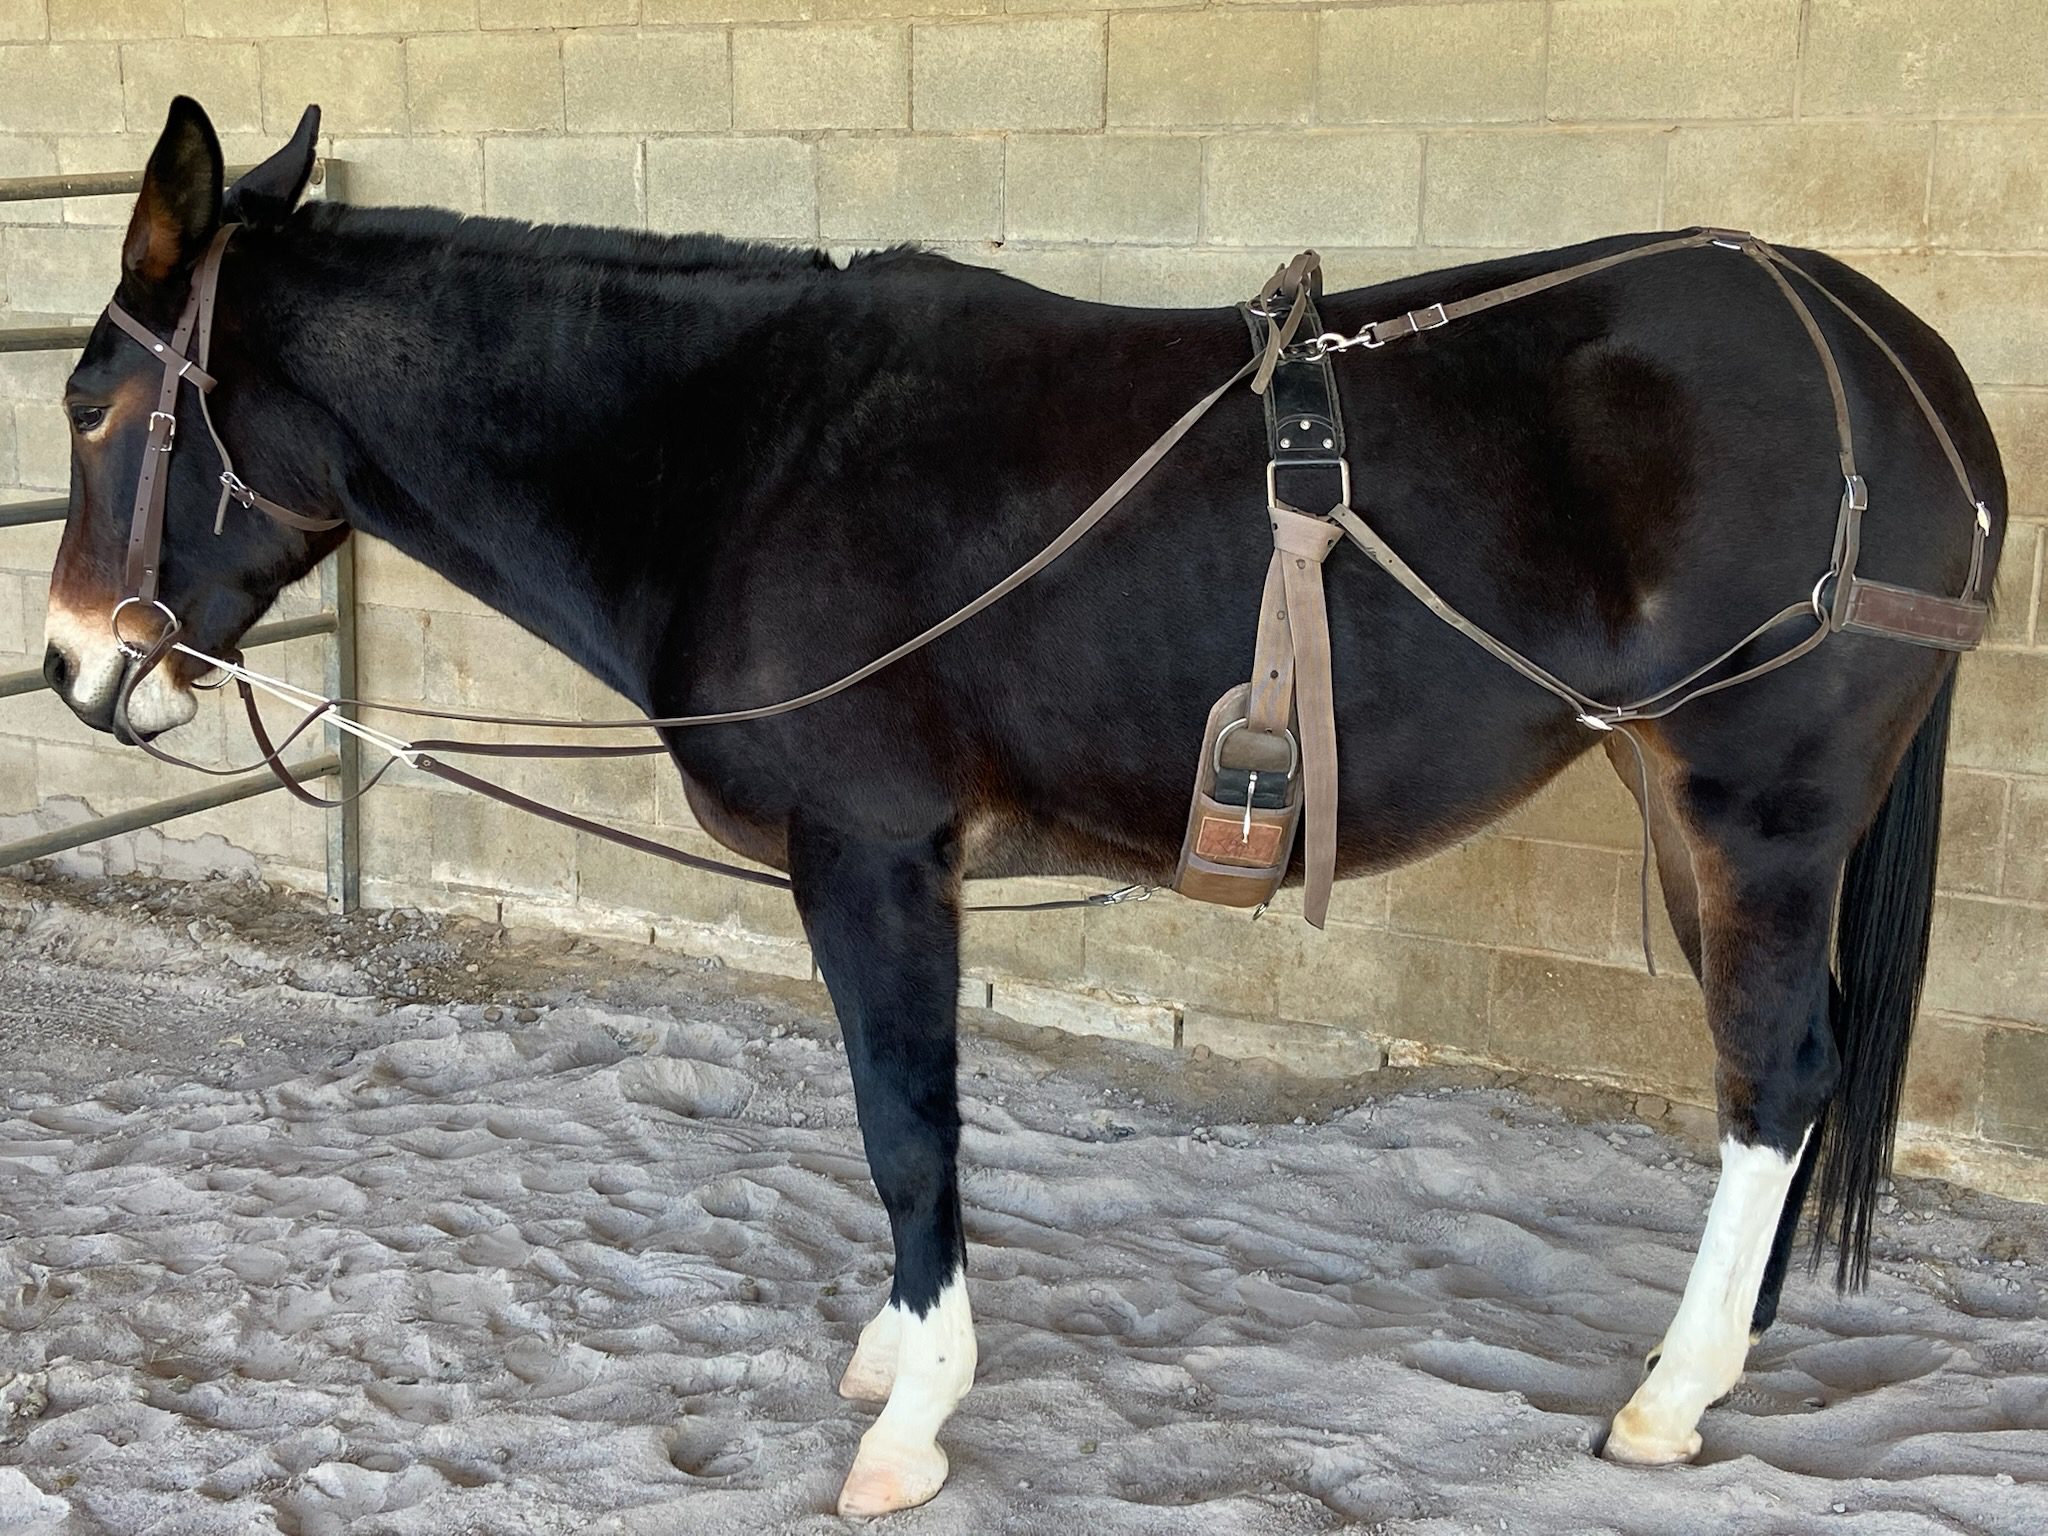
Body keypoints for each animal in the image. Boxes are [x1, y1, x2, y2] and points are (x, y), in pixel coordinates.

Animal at [41, 99, 2004, 1516]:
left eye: (93, 405)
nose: (70, 667)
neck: (743, 453)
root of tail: (1878, 348)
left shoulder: (872, 855)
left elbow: (908, 1126)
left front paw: (911, 1411)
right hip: (1678, 799)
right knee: (1795, 1067)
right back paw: (1730, 1343)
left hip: (1753, 808)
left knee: (1777, 1070)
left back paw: (1672, 1395)